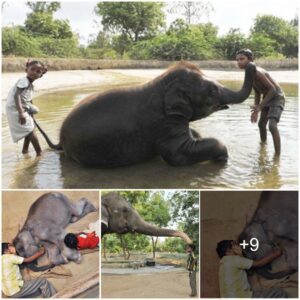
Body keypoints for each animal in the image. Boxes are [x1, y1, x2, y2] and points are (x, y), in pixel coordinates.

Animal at [35, 61, 255, 169]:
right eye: (212, 90)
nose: (251, 64)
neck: (162, 82)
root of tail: (60, 140)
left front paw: (198, 136)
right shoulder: (163, 122)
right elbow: (178, 155)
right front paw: (222, 159)